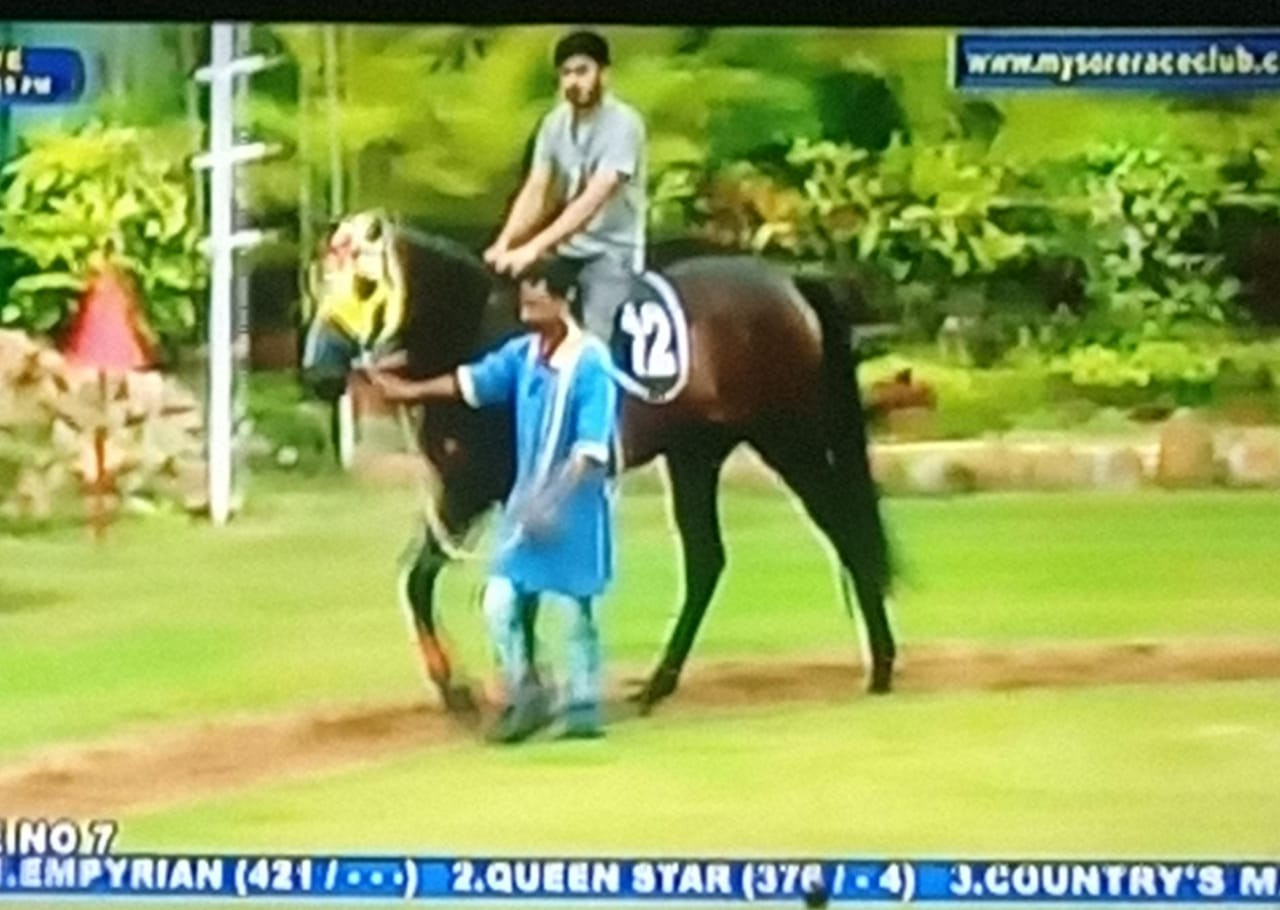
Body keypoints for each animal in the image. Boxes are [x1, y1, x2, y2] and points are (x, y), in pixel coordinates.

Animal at [300, 210, 897, 715]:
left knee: (844, 529)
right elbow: (418, 579)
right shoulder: (461, 490)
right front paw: (459, 690)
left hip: (787, 440)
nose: (318, 373)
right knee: (707, 560)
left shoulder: (492, 489)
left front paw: (520, 691)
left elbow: (506, 587)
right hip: (695, 456)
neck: (473, 334)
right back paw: (657, 685)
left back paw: (882, 668)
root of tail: (789, 282)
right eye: (319, 283)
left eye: (365, 284)